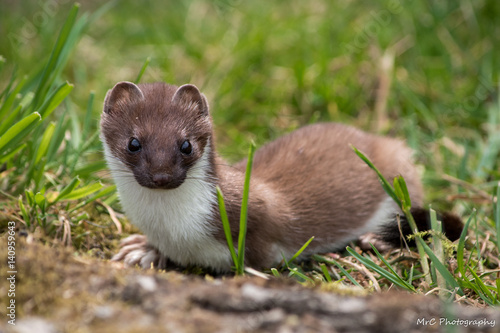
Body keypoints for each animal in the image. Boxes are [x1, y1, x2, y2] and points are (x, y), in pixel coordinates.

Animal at [99, 81, 462, 272]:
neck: (172, 227)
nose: (161, 176)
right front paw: (141, 249)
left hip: (400, 170)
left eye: (185, 144)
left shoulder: (257, 213)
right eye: (133, 142)